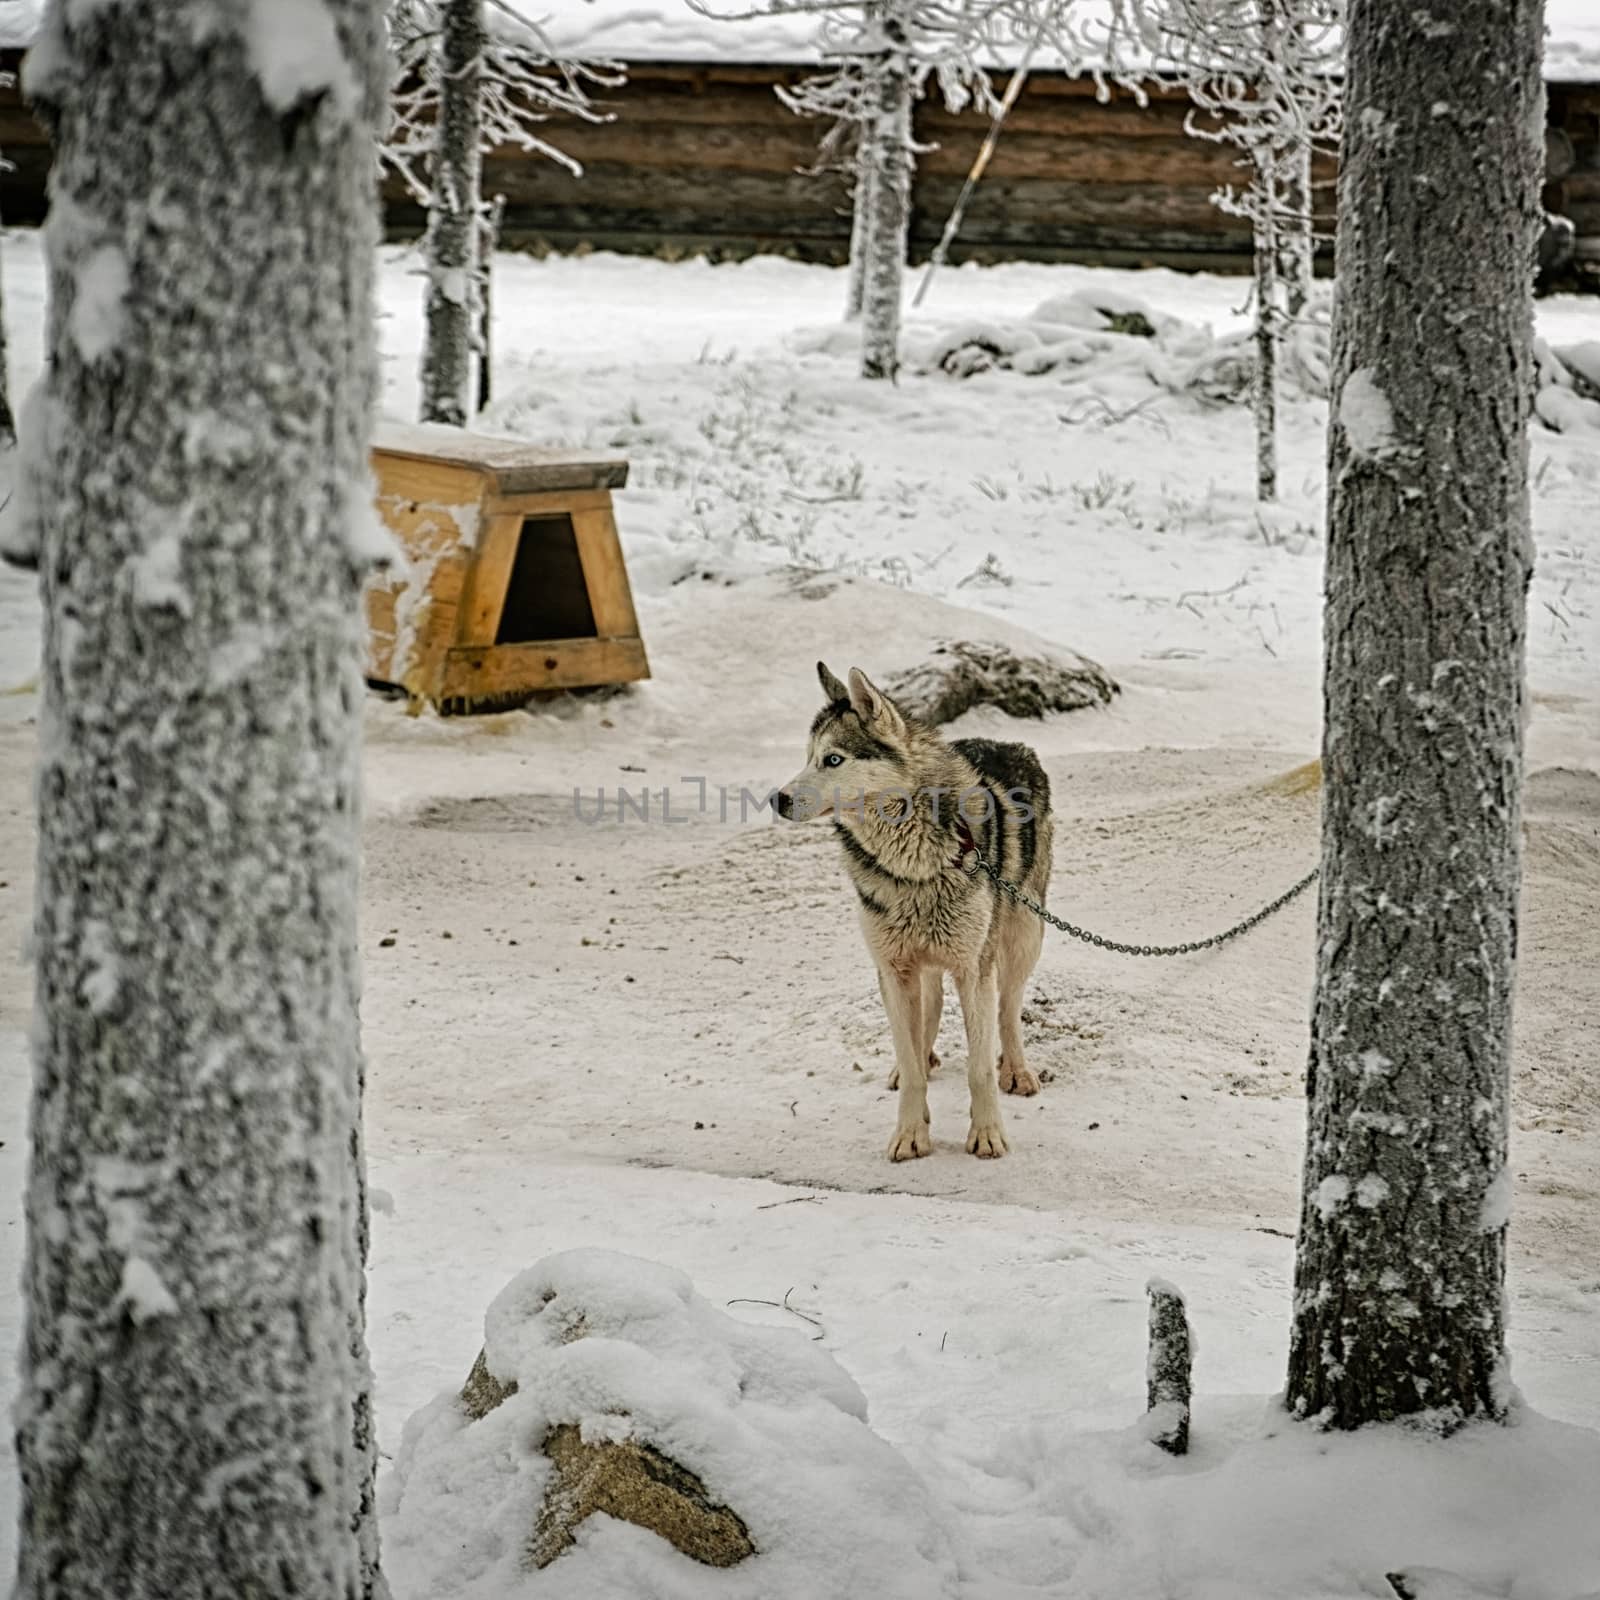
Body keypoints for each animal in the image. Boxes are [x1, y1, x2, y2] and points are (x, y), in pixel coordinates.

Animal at [777, 662, 1056, 1164]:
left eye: (834, 760)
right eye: (808, 757)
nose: (779, 799)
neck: (914, 865)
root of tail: (1007, 742)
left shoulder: (974, 968)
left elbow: (980, 1068)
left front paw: (987, 1135)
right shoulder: (892, 968)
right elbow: (911, 1070)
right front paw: (910, 1133)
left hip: (1023, 938)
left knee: (1008, 1010)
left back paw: (1017, 1070)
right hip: (921, 960)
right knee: (931, 1006)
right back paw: (922, 1055)